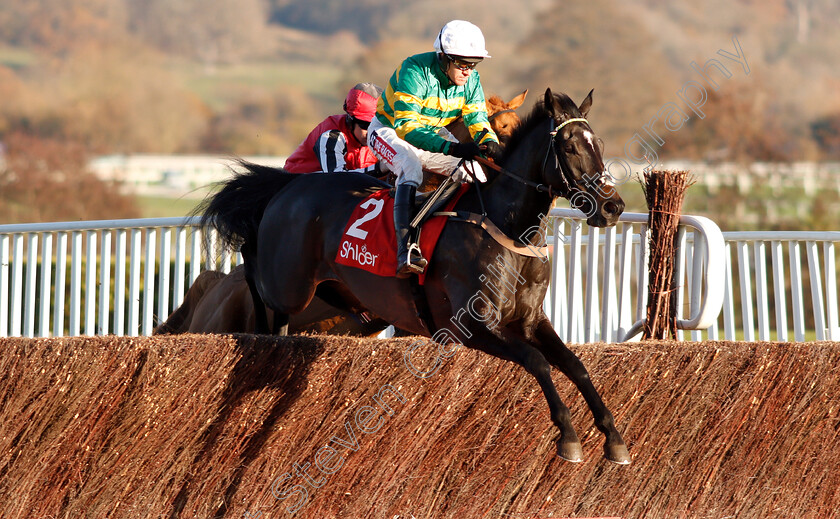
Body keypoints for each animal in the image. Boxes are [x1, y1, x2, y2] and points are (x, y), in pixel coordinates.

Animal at [202, 88, 632, 464]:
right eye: (571, 147)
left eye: (600, 145)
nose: (612, 206)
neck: (507, 227)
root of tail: (289, 187)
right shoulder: (472, 326)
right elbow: (538, 362)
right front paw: (570, 437)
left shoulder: (530, 321)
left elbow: (575, 365)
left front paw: (614, 439)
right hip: (289, 287)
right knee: (262, 287)